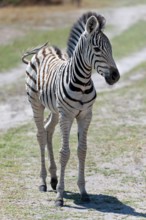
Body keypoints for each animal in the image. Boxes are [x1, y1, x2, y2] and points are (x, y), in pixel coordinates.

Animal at [21, 11, 120, 206]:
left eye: (111, 48)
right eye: (97, 49)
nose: (115, 76)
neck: (82, 83)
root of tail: (42, 50)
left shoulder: (86, 115)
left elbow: (82, 150)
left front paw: (83, 191)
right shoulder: (66, 115)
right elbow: (65, 153)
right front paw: (59, 196)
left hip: (54, 110)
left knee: (48, 130)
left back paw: (53, 178)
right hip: (36, 104)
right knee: (41, 135)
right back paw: (43, 182)